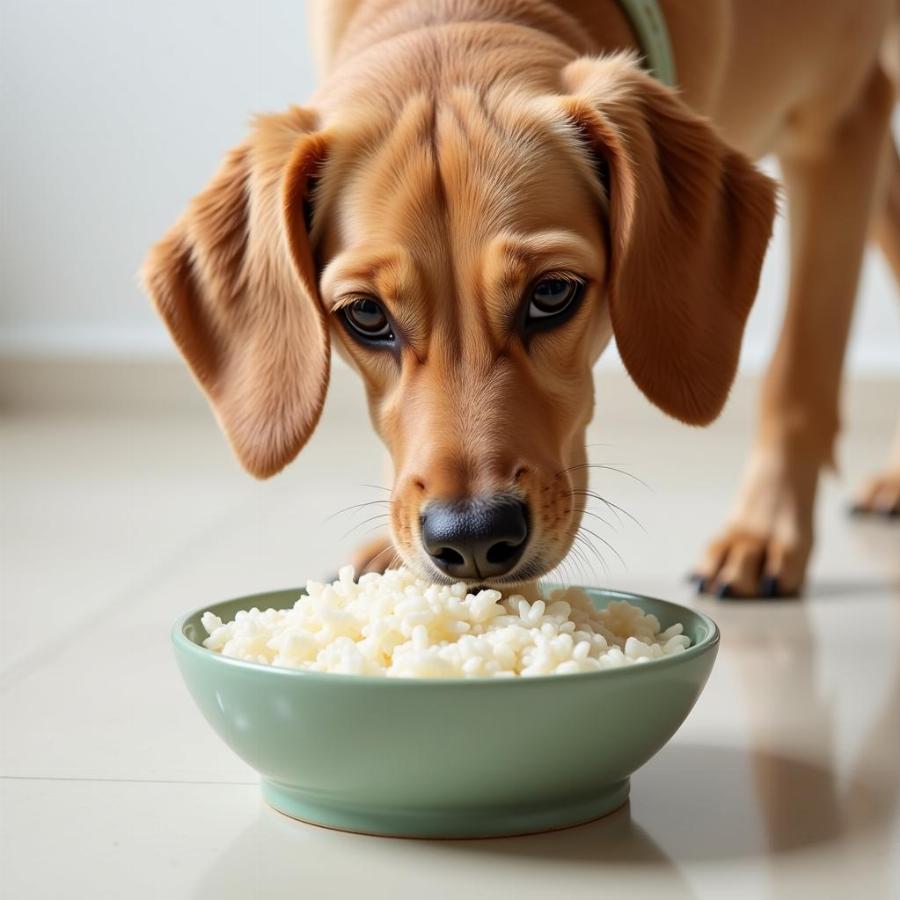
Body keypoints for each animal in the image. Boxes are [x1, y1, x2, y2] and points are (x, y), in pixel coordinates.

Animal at [142, 1, 900, 604]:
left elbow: (798, 374)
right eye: (366, 315)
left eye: (552, 293)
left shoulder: (840, 126)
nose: (473, 540)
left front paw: (764, 531)